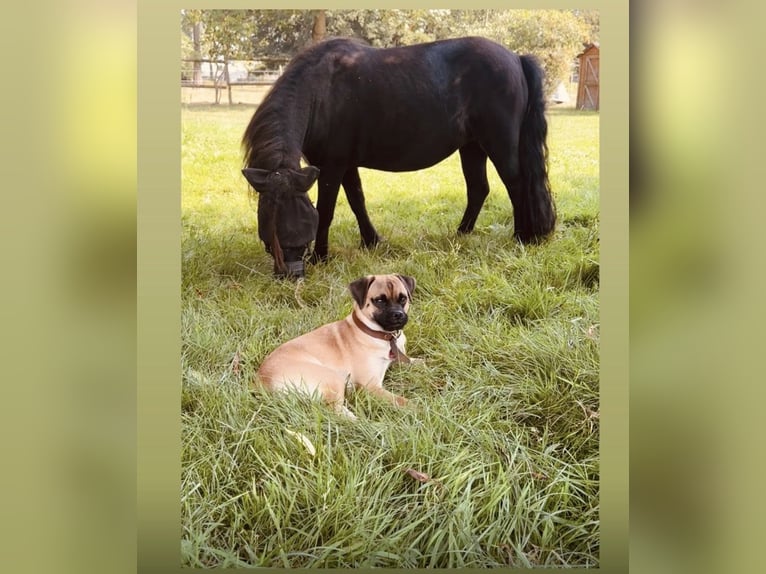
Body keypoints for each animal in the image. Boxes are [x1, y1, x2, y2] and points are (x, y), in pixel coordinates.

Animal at [241, 36, 556, 278]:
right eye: (268, 227)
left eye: (298, 223)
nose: (291, 275)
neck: (320, 90)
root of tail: (515, 58)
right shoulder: (346, 165)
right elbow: (357, 202)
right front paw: (371, 241)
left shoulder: (331, 166)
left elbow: (327, 211)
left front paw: (322, 256)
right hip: (472, 147)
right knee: (479, 189)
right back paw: (462, 234)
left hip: (499, 143)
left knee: (516, 185)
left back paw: (521, 236)